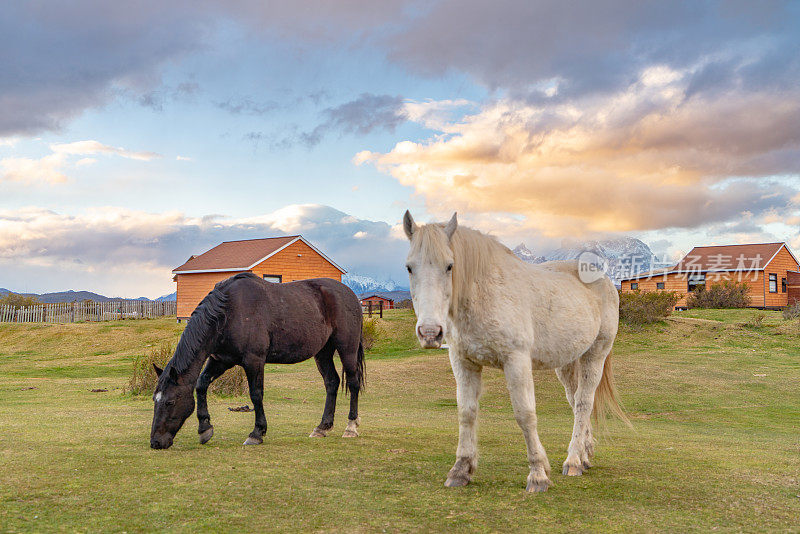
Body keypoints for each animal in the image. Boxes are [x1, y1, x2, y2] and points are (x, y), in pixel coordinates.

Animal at [148, 272, 364, 452]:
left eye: (170, 401)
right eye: (154, 400)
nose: (156, 442)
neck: (227, 314)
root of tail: (351, 295)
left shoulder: (254, 361)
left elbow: (256, 394)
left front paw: (257, 433)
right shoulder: (221, 361)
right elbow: (201, 385)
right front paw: (204, 428)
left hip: (347, 349)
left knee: (353, 383)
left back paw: (351, 427)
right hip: (323, 352)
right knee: (331, 382)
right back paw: (322, 427)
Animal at [404, 213, 628, 494]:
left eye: (449, 266)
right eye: (409, 267)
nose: (430, 333)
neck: (483, 293)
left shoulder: (516, 361)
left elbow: (525, 415)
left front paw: (538, 475)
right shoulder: (463, 362)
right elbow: (466, 412)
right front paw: (461, 469)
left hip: (595, 355)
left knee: (584, 403)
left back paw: (573, 461)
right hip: (567, 363)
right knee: (576, 402)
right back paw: (584, 455)